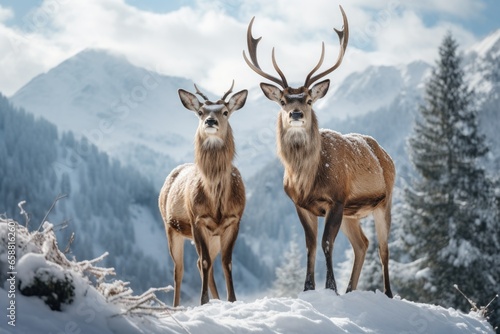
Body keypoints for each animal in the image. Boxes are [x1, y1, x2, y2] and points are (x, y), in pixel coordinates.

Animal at [158, 80, 248, 306]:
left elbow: (227, 262)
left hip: (213, 235)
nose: (210, 120)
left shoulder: (234, 220)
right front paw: (203, 301)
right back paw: (176, 306)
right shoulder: (197, 219)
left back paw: (217, 299)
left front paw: (232, 300)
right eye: (200, 111)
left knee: (204, 264)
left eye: (225, 111)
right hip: (171, 227)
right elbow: (205, 261)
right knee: (180, 269)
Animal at [244, 4, 396, 298]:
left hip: (385, 200)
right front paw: (308, 289)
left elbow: (326, 243)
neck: (306, 180)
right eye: (282, 100)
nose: (296, 113)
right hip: (352, 213)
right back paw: (351, 290)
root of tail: (385, 153)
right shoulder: (301, 205)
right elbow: (310, 245)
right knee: (362, 244)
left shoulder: (336, 199)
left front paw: (330, 288)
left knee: (384, 249)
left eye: (309, 99)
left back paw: (387, 294)